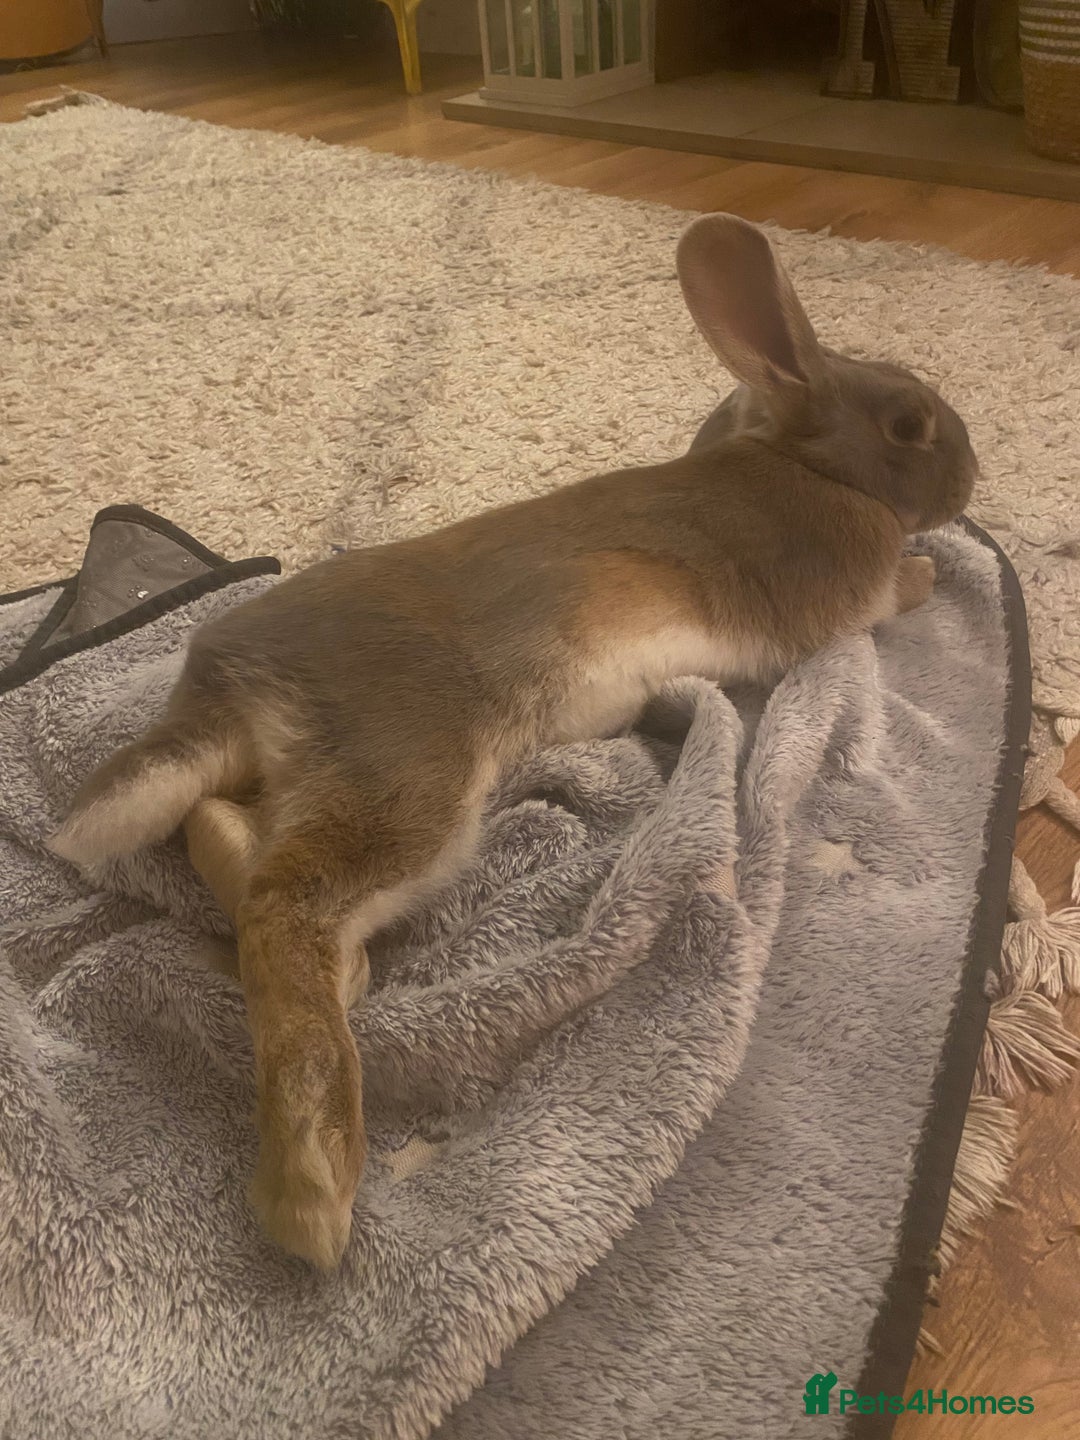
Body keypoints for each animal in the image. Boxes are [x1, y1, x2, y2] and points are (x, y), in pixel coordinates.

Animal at [49, 212, 979, 1272]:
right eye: (909, 423)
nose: (973, 477)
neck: (802, 459)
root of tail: (228, 685)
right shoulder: (833, 596)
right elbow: (889, 597)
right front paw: (926, 571)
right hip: (416, 782)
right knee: (288, 905)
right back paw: (313, 1185)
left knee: (223, 832)